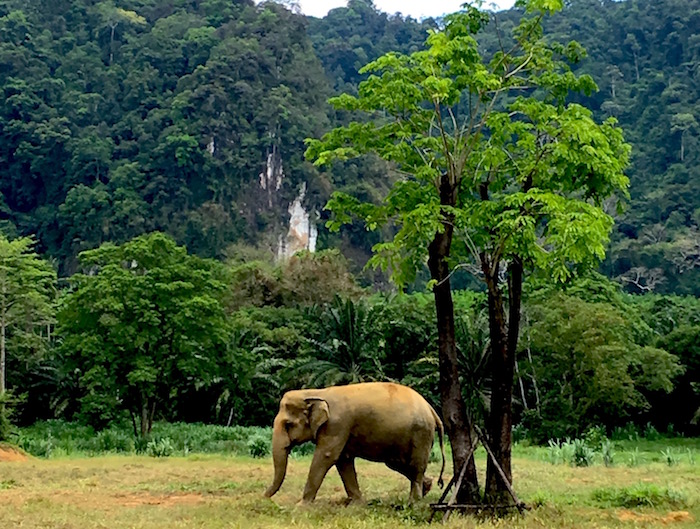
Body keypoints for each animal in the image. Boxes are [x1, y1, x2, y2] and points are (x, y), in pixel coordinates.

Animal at [262, 380, 442, 504]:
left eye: (288, 424)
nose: (263, 498)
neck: (315, 393)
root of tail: (432, 410)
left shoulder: (336, 425)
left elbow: (327, 456)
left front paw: (301, 506)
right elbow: (343, 460)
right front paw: (356, 504)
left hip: (421, 434)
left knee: (415, 465)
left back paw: (413, 502)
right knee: (400, 464)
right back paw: (426, 487)